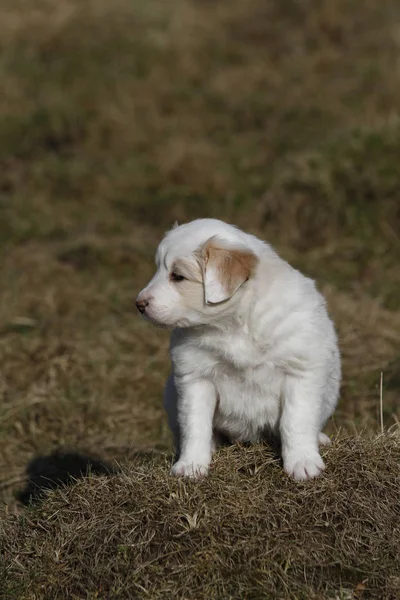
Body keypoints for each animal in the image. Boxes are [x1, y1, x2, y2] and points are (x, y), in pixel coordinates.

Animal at [138, 218, 340, 480]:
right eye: (158, 270)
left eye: (178, 276)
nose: (139, 304)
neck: (233, 325)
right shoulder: (195, 378)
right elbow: (195, 425)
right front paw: (191, 465)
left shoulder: (300, 372)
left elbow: (296, 420)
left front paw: (303, 463)